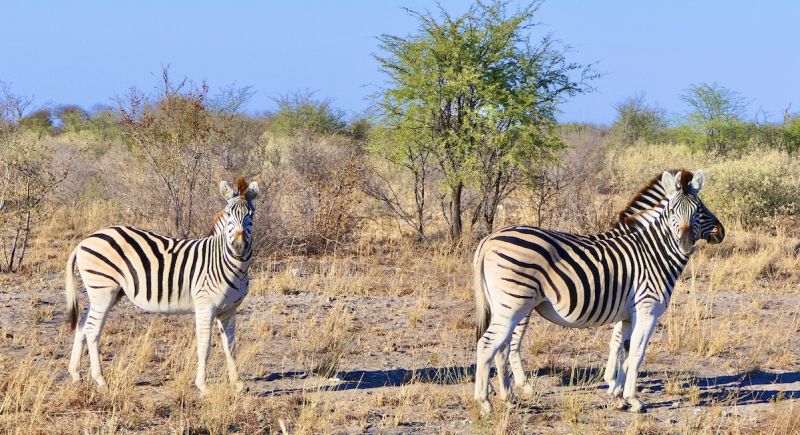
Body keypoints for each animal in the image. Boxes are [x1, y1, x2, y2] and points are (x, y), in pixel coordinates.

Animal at [66, 175, 260, 394]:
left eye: (251, 214)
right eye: (228, 214)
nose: (239, 246)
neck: (229, 264)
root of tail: (84, 241)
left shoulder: (228, 310)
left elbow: (231, 346)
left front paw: (237, 383)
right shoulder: (205, 306)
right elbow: (205, 345)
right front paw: (203, 386)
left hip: (107, 292)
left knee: (82, 325)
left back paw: (76, 374)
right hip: (103, 290)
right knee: (92, 330)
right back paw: (100, 380)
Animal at [476, 169, 724, 414]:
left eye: (699, 210)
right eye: (672, 211)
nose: (685, 244)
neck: (653, 253)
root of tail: (489, 239)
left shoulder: (628, 315)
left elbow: (624, 350)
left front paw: (618, 394)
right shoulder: (647, 310)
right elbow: (636, 352)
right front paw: (632, 399)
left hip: (508, 306)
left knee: (501, 347)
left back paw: (508, 397)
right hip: (515, 304)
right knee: (488, 344)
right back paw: (486, 401)